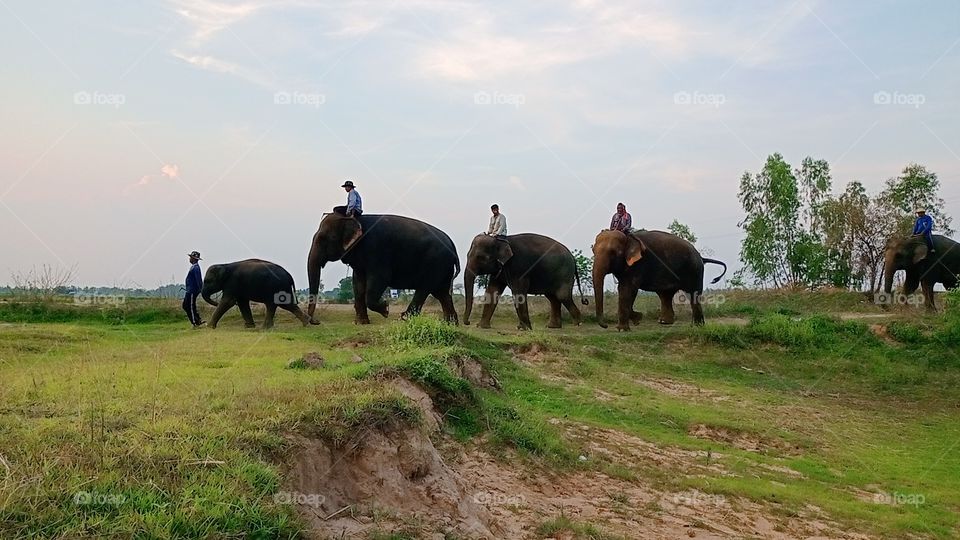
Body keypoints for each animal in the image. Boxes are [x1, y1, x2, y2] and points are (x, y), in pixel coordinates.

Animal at [307, 212, 460, 324]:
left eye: (325, 238)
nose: (316, 322)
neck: (353, 218)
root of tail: (453, 245)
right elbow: (358, 283)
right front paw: (362, 322)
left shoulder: (377, 250)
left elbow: (380, 279)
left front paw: (385, 309)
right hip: (443, 267)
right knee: (442, 293)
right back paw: (450, 324)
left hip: (436, 263)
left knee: (425, 288)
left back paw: (403, 318)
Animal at [592, 229, 726, 329]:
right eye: (593, 251)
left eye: (614, 252)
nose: (606, 325)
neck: (628, 238)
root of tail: (701, 257)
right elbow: (626, 289)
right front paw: (637, 319)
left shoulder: (638, 265)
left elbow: (627, 289)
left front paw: (624, 327)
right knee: (665, 294)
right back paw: (665, 322)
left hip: (694, 270)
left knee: (693, 294)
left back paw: (697, 326)